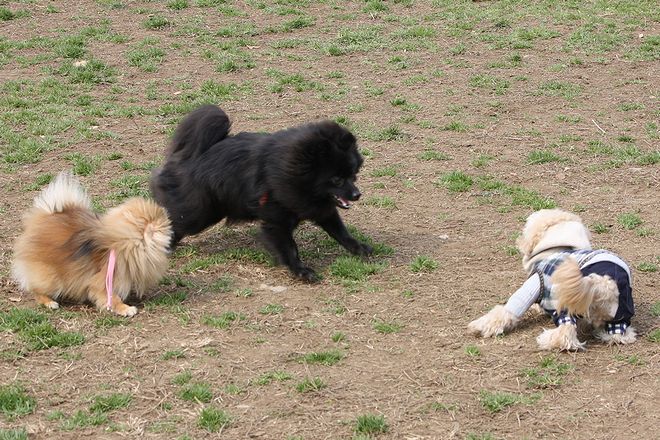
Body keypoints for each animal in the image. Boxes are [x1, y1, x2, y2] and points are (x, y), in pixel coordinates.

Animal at [12, 172, 172, 317]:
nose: (166, 211)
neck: (127, 241)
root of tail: (45, 216)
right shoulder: (103, 279)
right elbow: (112, 297)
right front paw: (125, 309)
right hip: (51, 277)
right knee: (37, 289)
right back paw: (49, 302)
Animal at [150, 105, 373, 282]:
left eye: (353, 175)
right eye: (337, 179)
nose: (357, 194)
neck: (294, 173)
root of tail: (195, 154)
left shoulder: (319, 208)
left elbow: (340, 231)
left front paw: (359, 248)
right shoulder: (276, 222)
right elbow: (290, 248)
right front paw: (301, 271)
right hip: (201, 212)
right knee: (176, 219)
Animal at [468, 208, 636, 350]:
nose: (519, 239)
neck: (556, 248)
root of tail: (604, 284)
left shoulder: (533, 286)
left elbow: (505, 312)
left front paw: (480, 326)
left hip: (565, 302)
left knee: (566, 334)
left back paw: (546, 338)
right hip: (621, 312)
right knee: (620, 335)